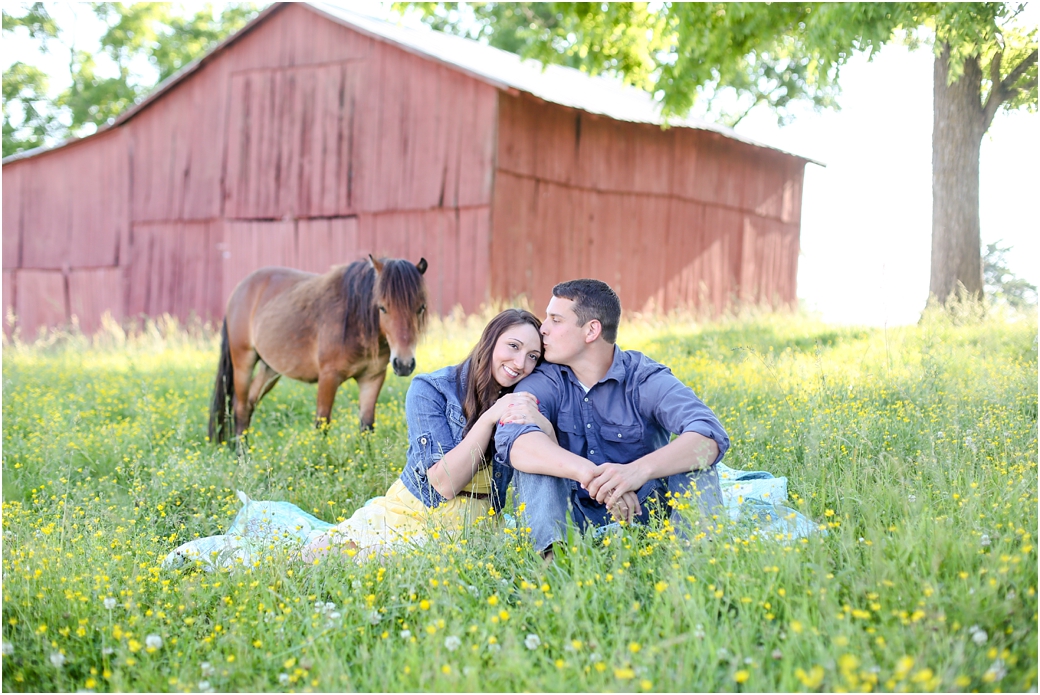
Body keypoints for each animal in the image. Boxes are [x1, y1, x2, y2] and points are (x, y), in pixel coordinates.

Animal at [209, 256, 428, 445]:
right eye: (382, 308)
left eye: (420, 308)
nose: (404, 364)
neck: (354, 320)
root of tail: (240, 290)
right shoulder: (328, 377)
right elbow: (322, 424)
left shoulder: (372, 378)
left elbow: (366, 426)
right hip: (243, 361)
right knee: (239, 406)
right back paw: (241, 456)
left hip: (270, 369)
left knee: (249, 404)